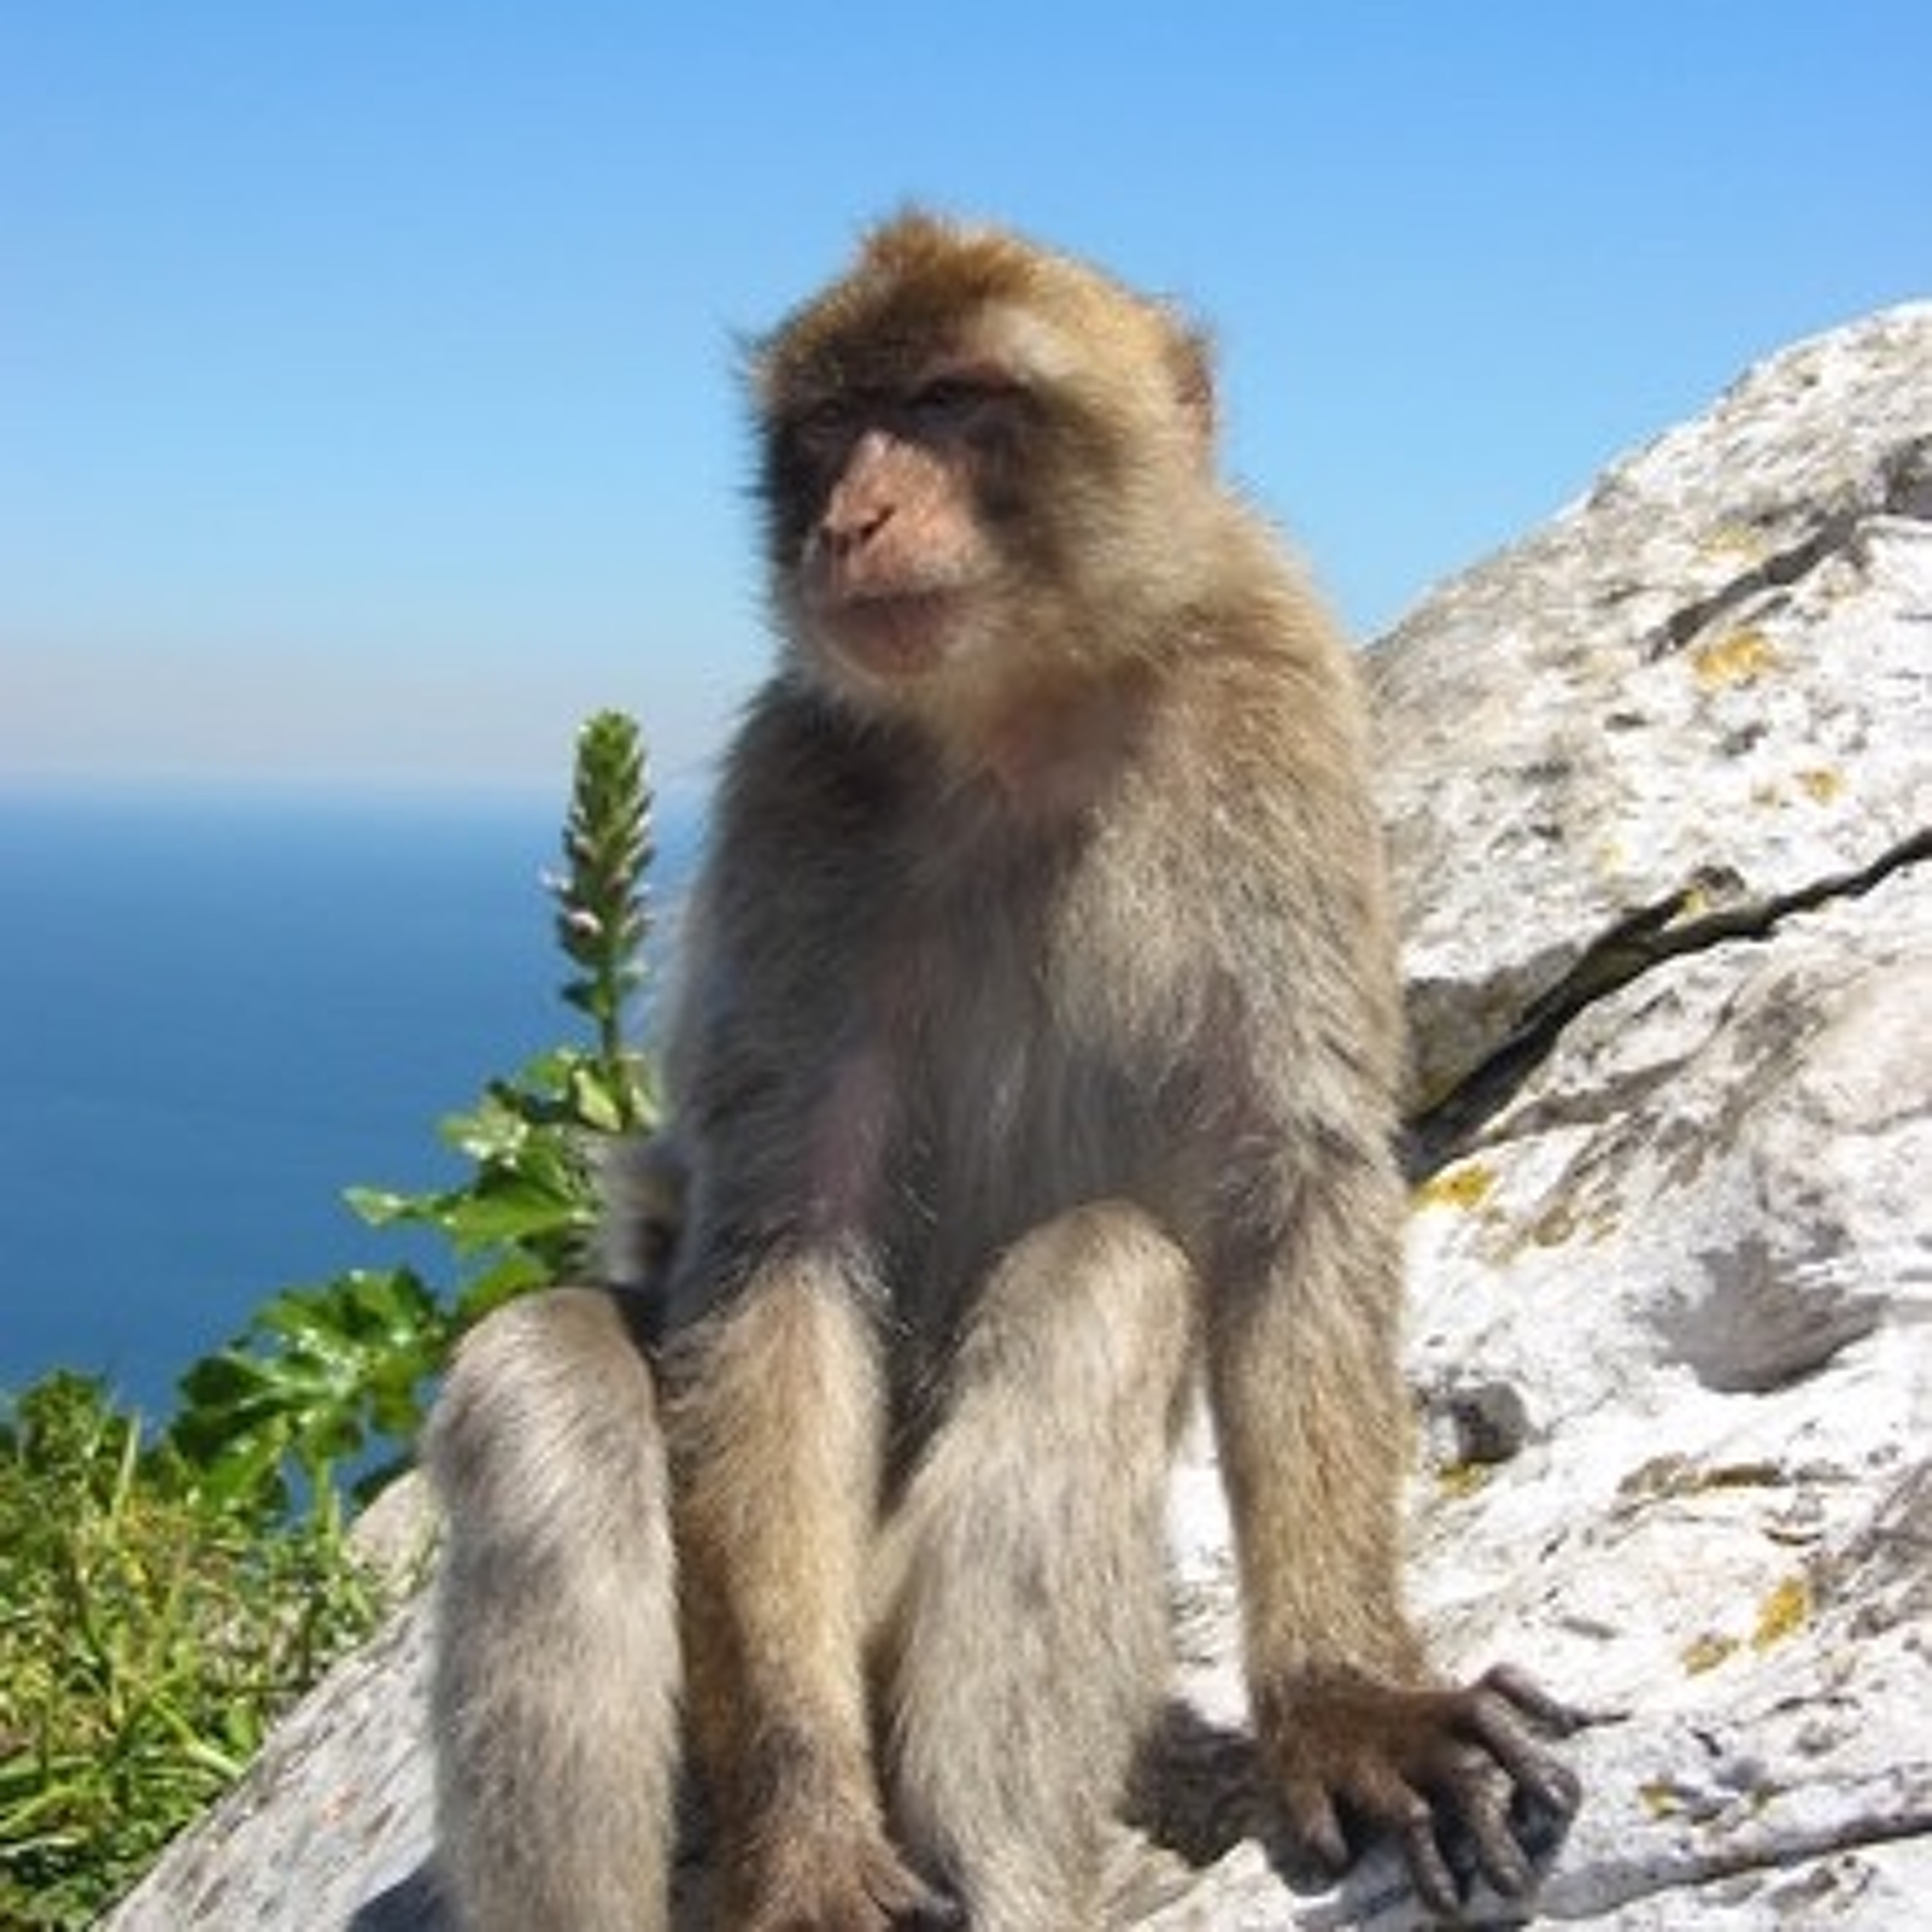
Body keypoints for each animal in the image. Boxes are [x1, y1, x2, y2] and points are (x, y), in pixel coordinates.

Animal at [425, 211, 1580, 1931]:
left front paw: (1344, 1696)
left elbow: (1289, 1175)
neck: (1016, 716)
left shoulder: (1271, 699)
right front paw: (811, 1837)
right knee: (542, 1376)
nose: (854, 515)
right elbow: (782, 1254)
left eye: (955, 405)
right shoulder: (795, 793)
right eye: (833, 427)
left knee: (1105, 1273)